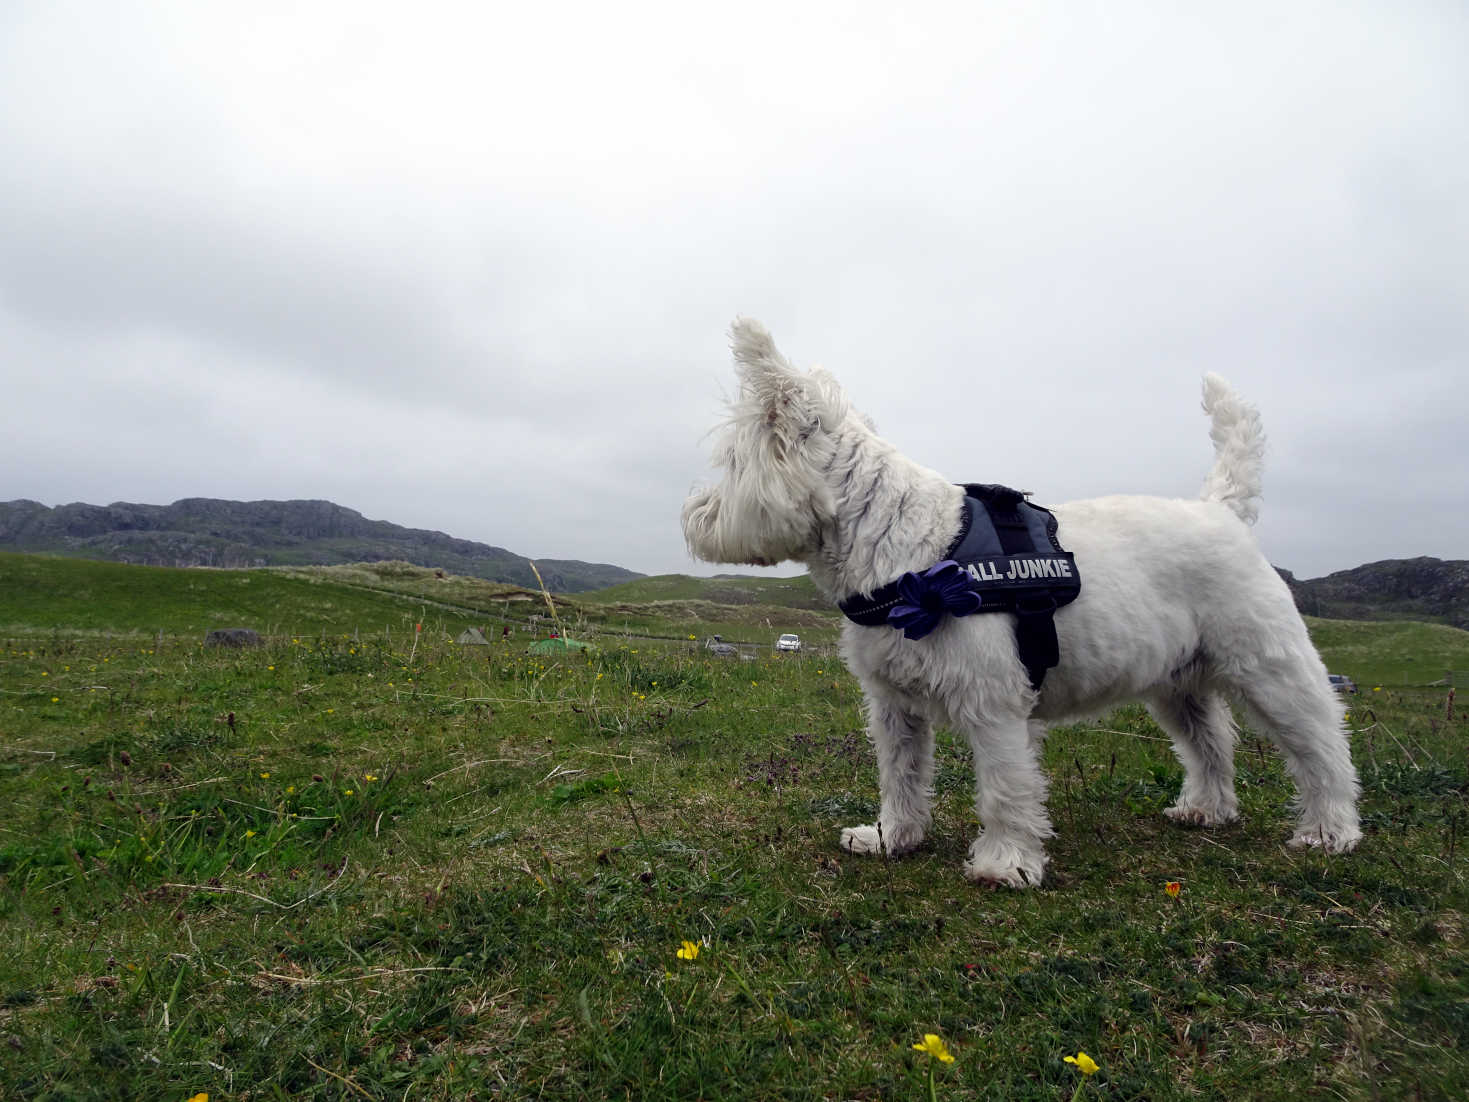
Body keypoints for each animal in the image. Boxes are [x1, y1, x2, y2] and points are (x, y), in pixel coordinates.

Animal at [681, 318, 1357, 887]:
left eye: (732, 461)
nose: (691, 517)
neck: (904, 551)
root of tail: (1222, 511)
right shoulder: (894, 704)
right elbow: (901, 776)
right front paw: (891, 838)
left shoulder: (993, 703)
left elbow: (1005, 787)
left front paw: (1005, 864)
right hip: (1176, 684)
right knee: (1211, 743)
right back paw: (1206, 810)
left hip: (1269, 667)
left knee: (1321, 743)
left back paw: (1329, 830)